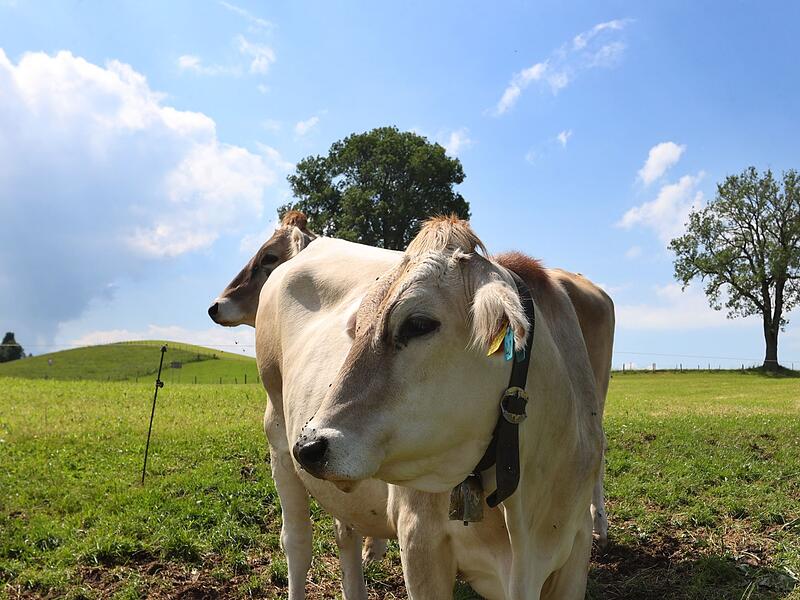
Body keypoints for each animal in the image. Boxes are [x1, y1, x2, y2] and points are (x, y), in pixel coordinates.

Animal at [294, 217, 606, 598]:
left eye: (418, 324)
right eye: (359, 328)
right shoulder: (419, 541)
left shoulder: (576, 550)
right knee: (297, 544)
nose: (309, 445)